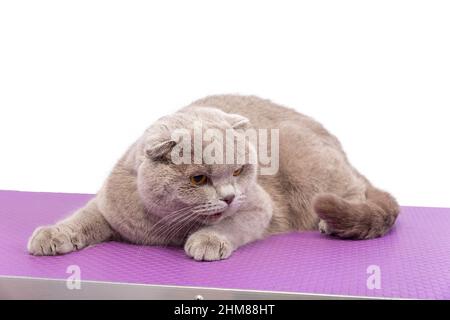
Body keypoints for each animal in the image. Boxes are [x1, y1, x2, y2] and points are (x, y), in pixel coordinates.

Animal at [28, 94, 400, 260]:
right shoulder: (110, 207)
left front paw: (207, 241)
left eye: (238, 170)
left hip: (308, 162)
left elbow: (231, 224)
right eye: (198, 179)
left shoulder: (259, 206)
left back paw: (329, 223)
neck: (165, 226)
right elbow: (81, 218)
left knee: (355, 193)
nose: (230, 196)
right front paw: (52, 235)